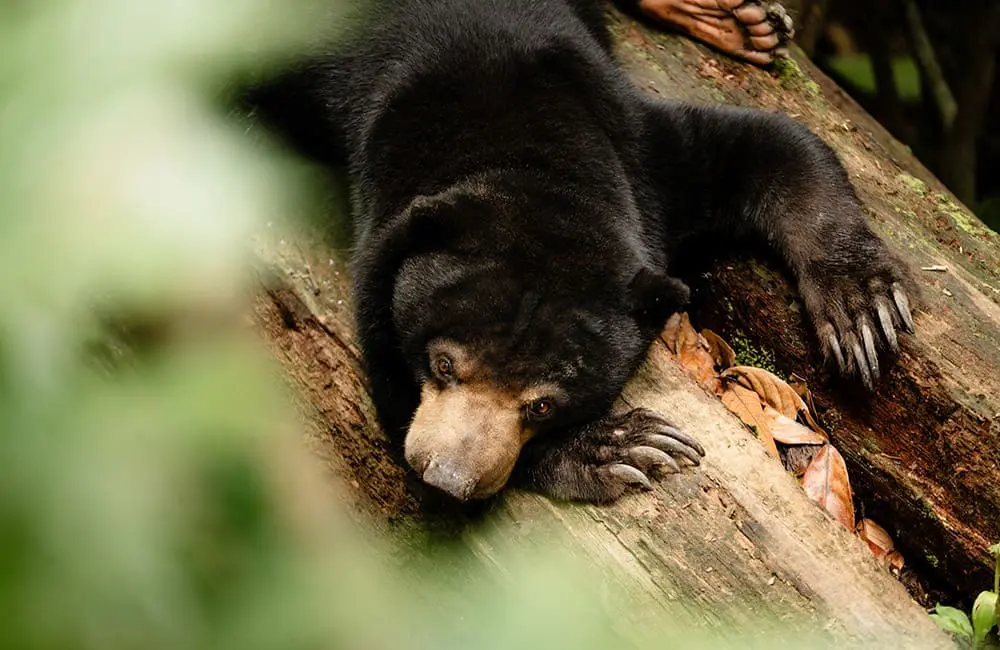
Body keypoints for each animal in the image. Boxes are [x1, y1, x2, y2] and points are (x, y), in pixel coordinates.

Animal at [248, 0, 916, 504]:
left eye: (544, 404)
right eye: (442, 365)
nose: (449, 480)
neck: (527, 154)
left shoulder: (639, 157)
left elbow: (771, 144)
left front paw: (863, 315)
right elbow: (385, 372)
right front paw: (614, 449)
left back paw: (738, 21)